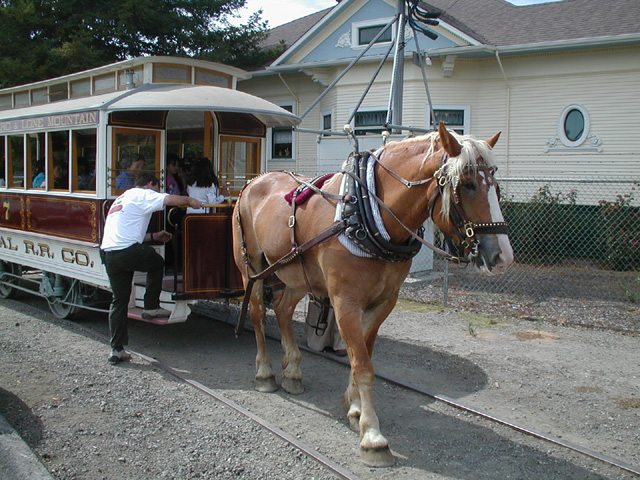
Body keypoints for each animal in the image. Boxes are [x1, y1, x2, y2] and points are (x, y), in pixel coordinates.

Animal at [232, 122, 512, 466]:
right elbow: (363, 366)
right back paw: (265, 373)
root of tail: (254, 182)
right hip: (251, 267)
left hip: (297, 274)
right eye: (469, 184)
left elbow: (362, 355)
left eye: (495, 185)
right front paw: (373, 436)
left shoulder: (383, 302)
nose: (503, 256)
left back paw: (293, 372)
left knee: (283, 311)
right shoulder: (345, 303)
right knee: (258, 314)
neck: (367, 214)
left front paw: (354, 410)